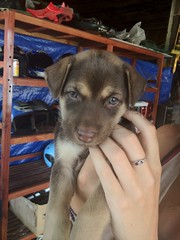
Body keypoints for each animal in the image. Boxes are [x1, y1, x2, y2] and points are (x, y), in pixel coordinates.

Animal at [42, 49, 146, 239]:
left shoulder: (115, 170)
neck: (86, 149)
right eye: (73, 94)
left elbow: (90, 213)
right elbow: (54, 209)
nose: (85, 136)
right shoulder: (63, 164)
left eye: (113, 100)